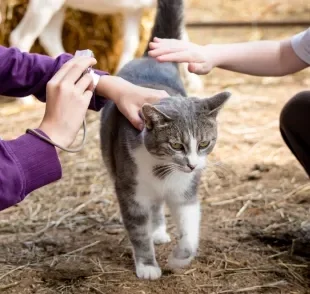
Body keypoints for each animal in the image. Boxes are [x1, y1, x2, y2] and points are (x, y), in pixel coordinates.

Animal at [99, 0, 230, 280]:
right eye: (176, 145)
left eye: (204, 144)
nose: (193, 164)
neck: (163, 169)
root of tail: (150, 59)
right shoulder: (130, 190)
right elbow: (138, 231)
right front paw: (147, 266)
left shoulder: (186, 192)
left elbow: (190, 230)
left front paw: (179, 259)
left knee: (158, 205)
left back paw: (159, 231)